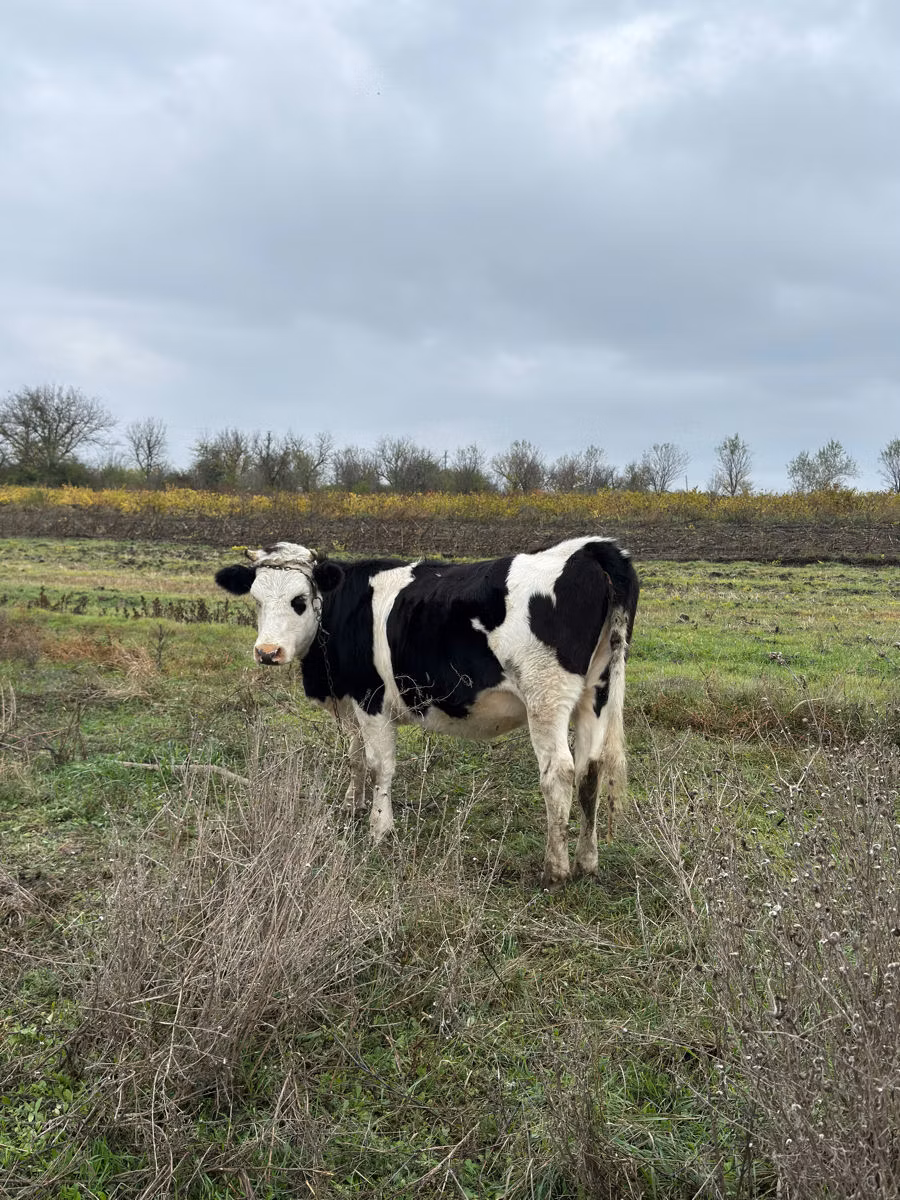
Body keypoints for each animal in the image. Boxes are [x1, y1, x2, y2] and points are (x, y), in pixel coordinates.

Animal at [215, 537, 639, 886]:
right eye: (256, 600)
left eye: (299, 601)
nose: (267, 652)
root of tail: (588, 548)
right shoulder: (350, 701)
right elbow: (354, 756)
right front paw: (354, 806)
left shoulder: (370, 697)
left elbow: (379, 764)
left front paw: (379, 828)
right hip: (595, 693)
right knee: (591, 771)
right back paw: (587, 860)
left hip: (546, 697)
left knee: (559, 773)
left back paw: (556, 869)